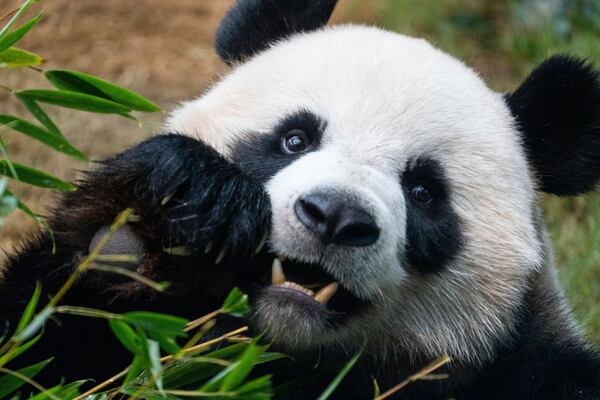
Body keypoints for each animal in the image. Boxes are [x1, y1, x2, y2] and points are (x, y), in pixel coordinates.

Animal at [1, 0, 600, 398]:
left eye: (424, 190)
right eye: (295, 139)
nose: (335, 217)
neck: (285, 351)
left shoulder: (526, 366)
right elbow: (37, 343)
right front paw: (154, 226)